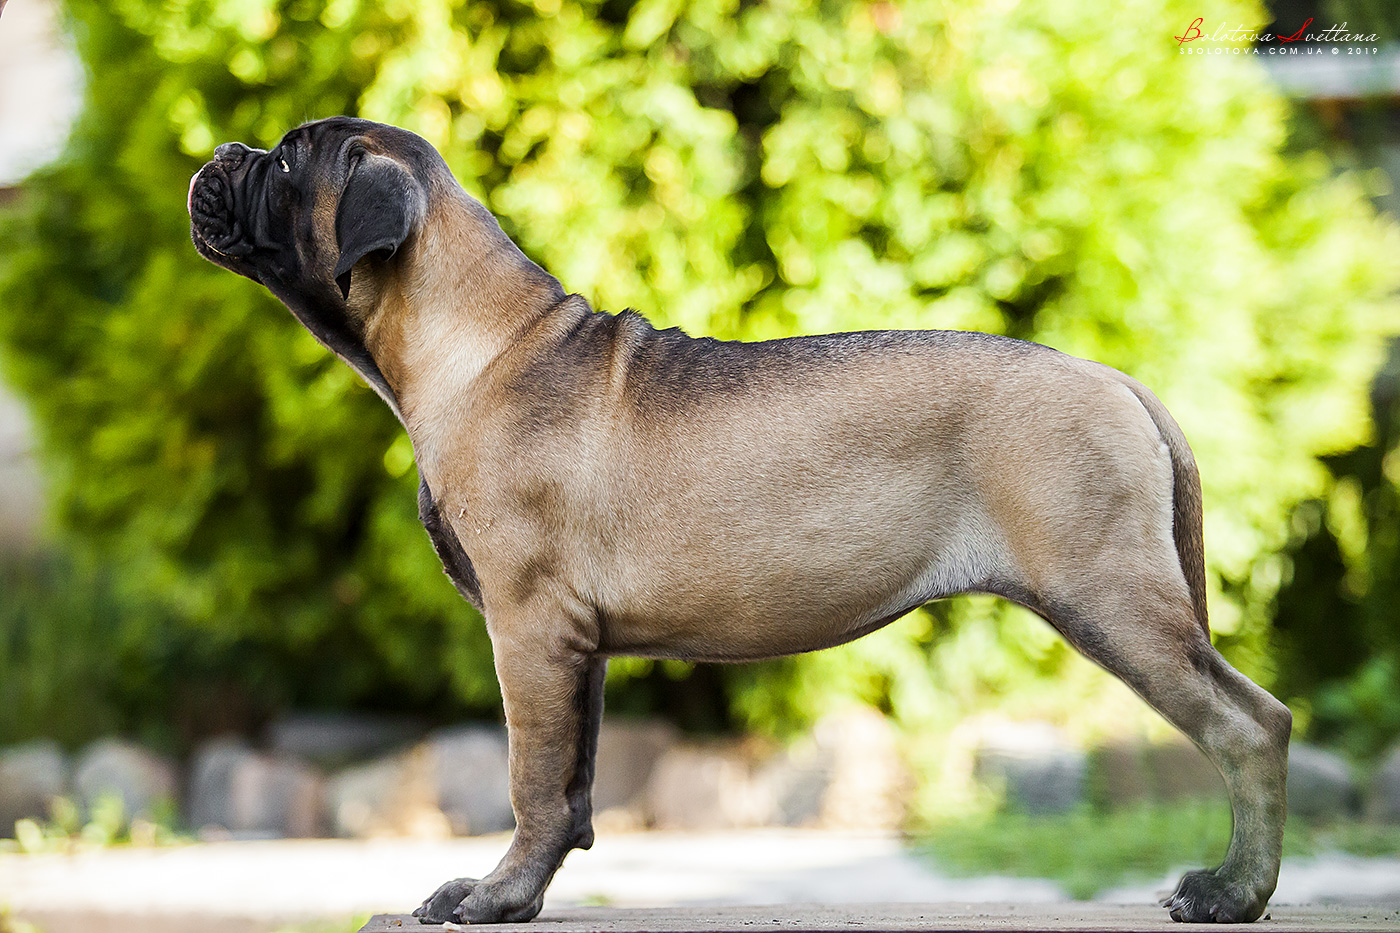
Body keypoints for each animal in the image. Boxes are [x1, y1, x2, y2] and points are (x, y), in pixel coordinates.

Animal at [186, 118, 1288, 924]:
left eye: (284, 161)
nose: (222, 155)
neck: (479, 342)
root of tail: (1117, 381)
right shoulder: (574, 646)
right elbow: (573, 784)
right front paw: (528, 892)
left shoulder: (528, 628)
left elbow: (531, 776)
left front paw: (492, 895)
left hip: (1108, 596)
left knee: (1247, 725)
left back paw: (1231, 893)